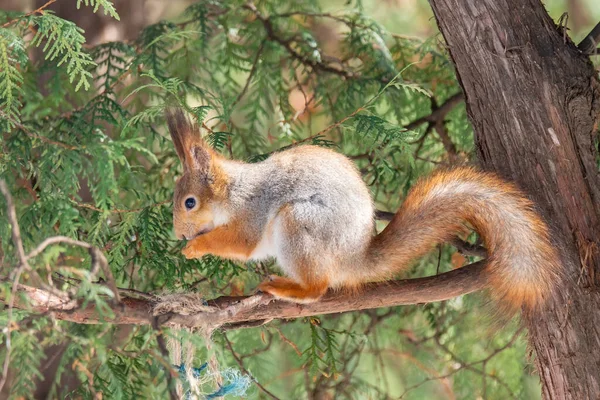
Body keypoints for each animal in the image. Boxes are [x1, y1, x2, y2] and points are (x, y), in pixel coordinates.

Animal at [166, 109, 560, 312]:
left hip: (299, 224)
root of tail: (353, 259)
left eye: (190, 202)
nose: (179, 233)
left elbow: (241, 243)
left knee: (318, 287)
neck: (233, 191)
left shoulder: (254, 209)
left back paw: (289, 288)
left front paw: (194, 248)